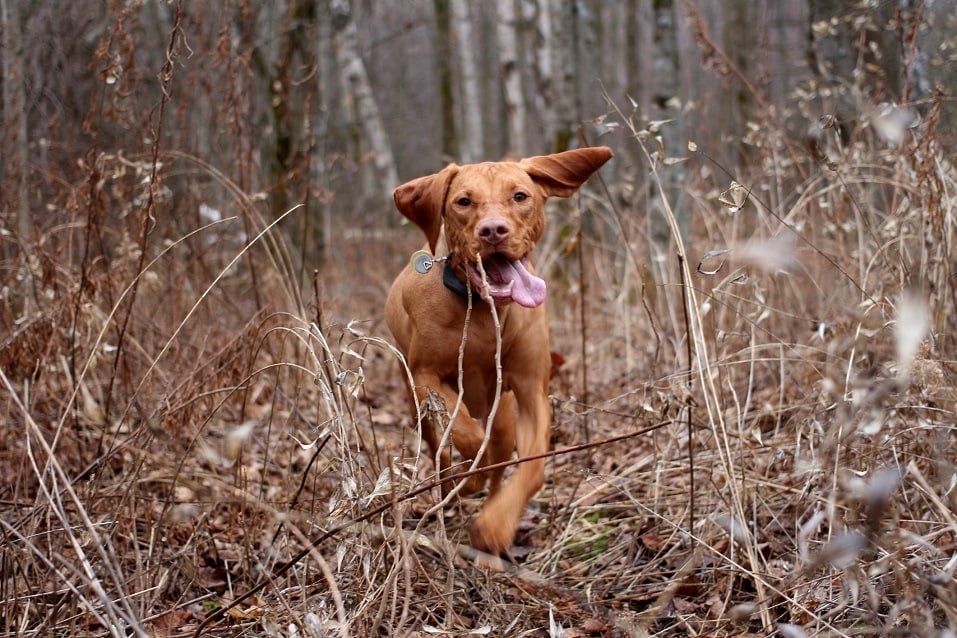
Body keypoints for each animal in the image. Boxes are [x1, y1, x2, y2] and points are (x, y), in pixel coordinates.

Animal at [382, 145, 612, 556]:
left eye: (519, 196)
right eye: (463, 201)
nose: (492, 231)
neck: (487, 311)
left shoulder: (531, 390)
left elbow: (532, 468)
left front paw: (495, 526)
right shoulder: (427, 377)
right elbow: (468, 437)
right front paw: (467, 476)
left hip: (502, 414)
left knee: (498, 461)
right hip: (419, 406)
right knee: (442, 450)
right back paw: (450, 488)